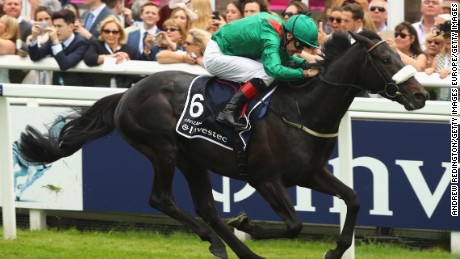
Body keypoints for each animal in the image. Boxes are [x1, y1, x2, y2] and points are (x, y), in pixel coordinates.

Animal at [18, 31, 428, 258]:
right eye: (385, 58)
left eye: (402, 54)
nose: (421, 95)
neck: (303, 109)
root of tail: (127, 93)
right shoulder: (265, 178)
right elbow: (294, 224)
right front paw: (250, 223)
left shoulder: (309, 173)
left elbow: (354, 199)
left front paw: (334, 250)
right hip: (164, 151)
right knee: (162, 200)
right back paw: (220, 242)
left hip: (193, 159)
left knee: (206, 208)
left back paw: (237, 250)